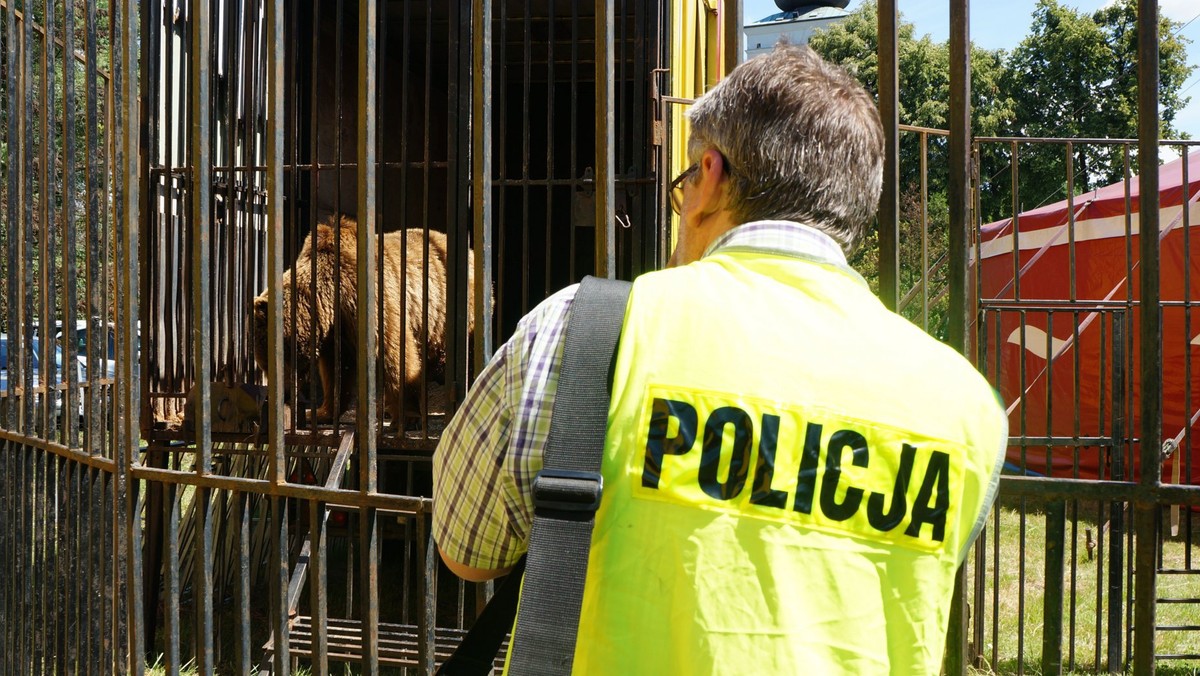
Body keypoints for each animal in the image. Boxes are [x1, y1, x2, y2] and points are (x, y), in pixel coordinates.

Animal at [250, 213, 475, 425]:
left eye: (269, 361)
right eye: (263, 364)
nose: (285, 395)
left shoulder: (368, 299)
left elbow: (394, 354)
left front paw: (409, 417)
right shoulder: (336, 330)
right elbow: (335, 371)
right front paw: (324, 412)